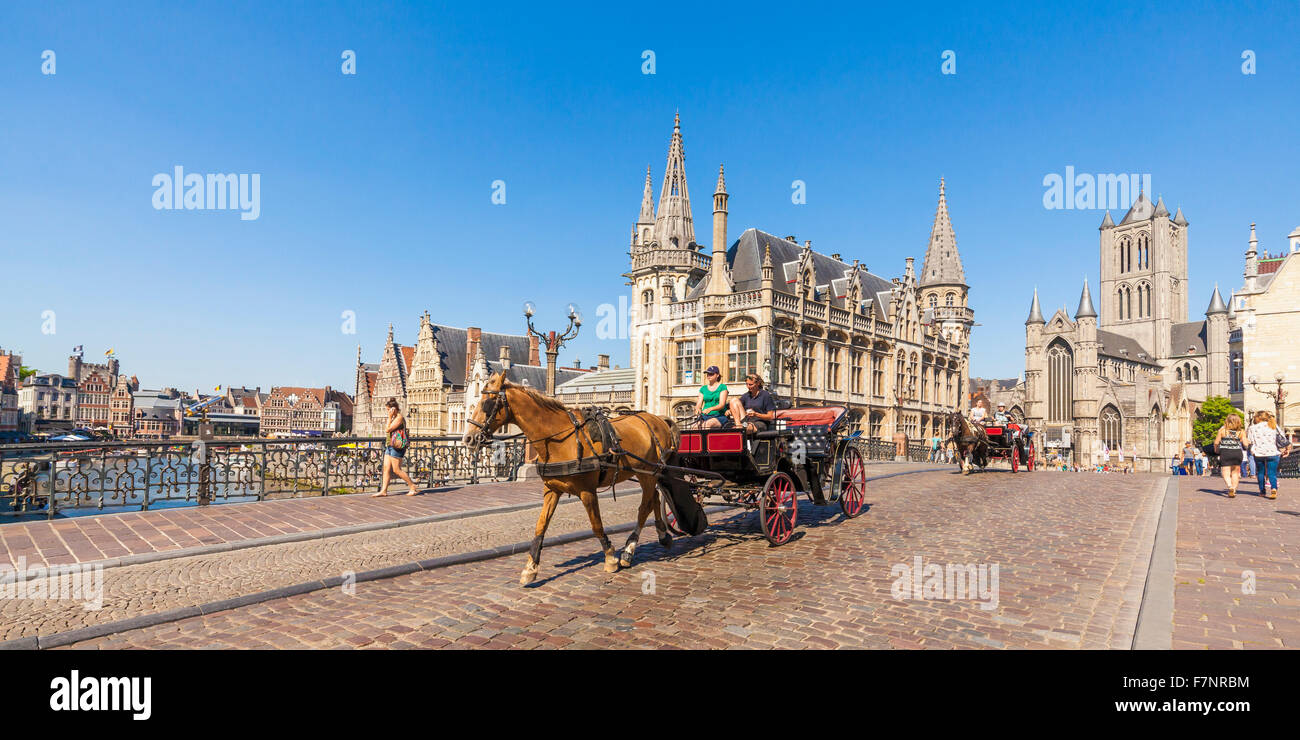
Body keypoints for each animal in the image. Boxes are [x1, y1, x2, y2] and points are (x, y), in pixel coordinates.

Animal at [460, 371, 681, 585]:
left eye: (487, 403)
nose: (468, 438)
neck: (558, 438)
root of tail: (659, 419)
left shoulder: (587, 491)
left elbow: (596, 524)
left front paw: (610, 557)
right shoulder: (552, 490)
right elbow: (540, 526)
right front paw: (530, 568)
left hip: (648, 473)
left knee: (644, 506)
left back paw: (629, 550)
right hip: (648, 474)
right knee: (654, 499)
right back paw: (662, 536)